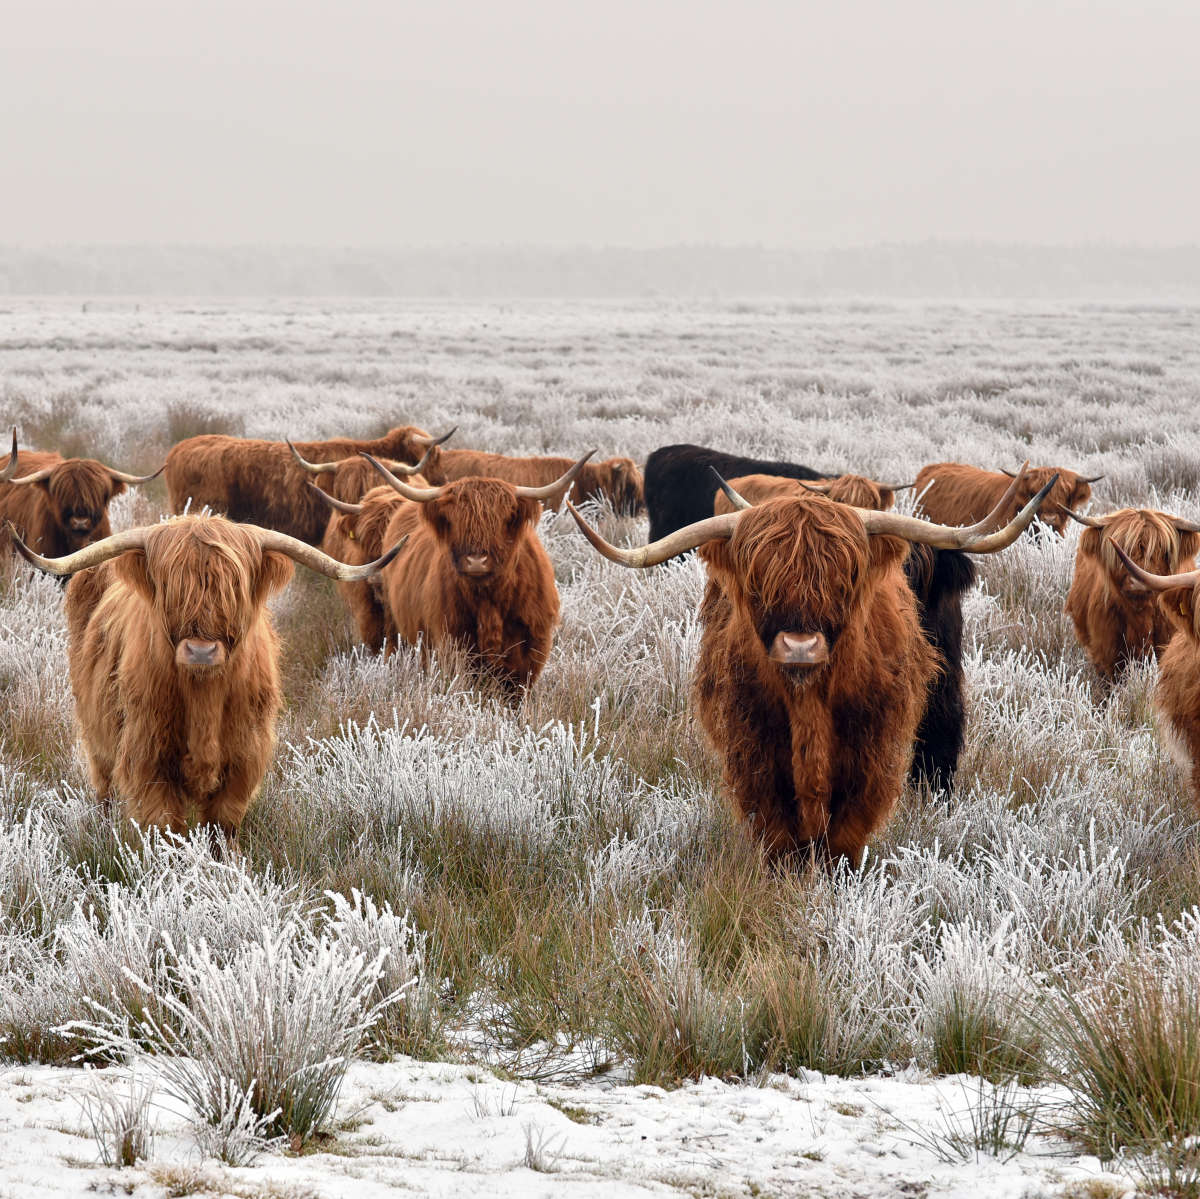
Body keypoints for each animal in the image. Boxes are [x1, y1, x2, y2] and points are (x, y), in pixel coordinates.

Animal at [6, 515, 404, 838]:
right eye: (171, 588)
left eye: (233, 589)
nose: (200, 651)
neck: (203, 698)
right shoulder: (147, 757)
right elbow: (165, 828)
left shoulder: (244, 759)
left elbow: (222, 827)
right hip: (97, 737)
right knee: (103, 788)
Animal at [360, 451, 594, 689]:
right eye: (455, 520)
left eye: (502, 520)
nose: (476, 561)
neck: (488, 601)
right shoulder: (452, 644)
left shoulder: (529, 652)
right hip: (395, 624)